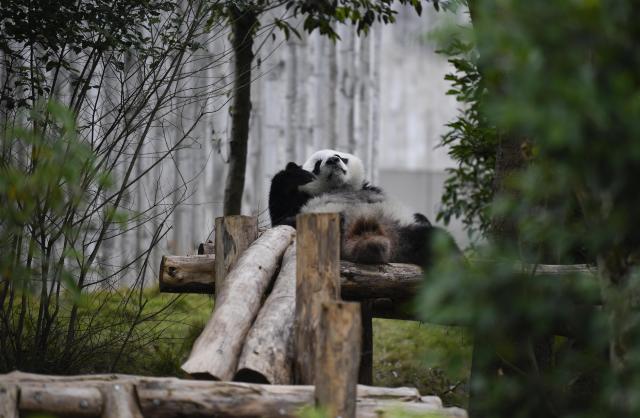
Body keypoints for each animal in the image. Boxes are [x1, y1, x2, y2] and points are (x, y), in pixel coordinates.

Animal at [268, 149, 460, 266]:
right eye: (317, 164)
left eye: (341, 156)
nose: (333, 160)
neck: (338, 187)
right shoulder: (301, 201)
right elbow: (280, 214)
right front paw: (295, 173)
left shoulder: (368, 189)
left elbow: (419, 216)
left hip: (405, 232)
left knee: (437, 242)